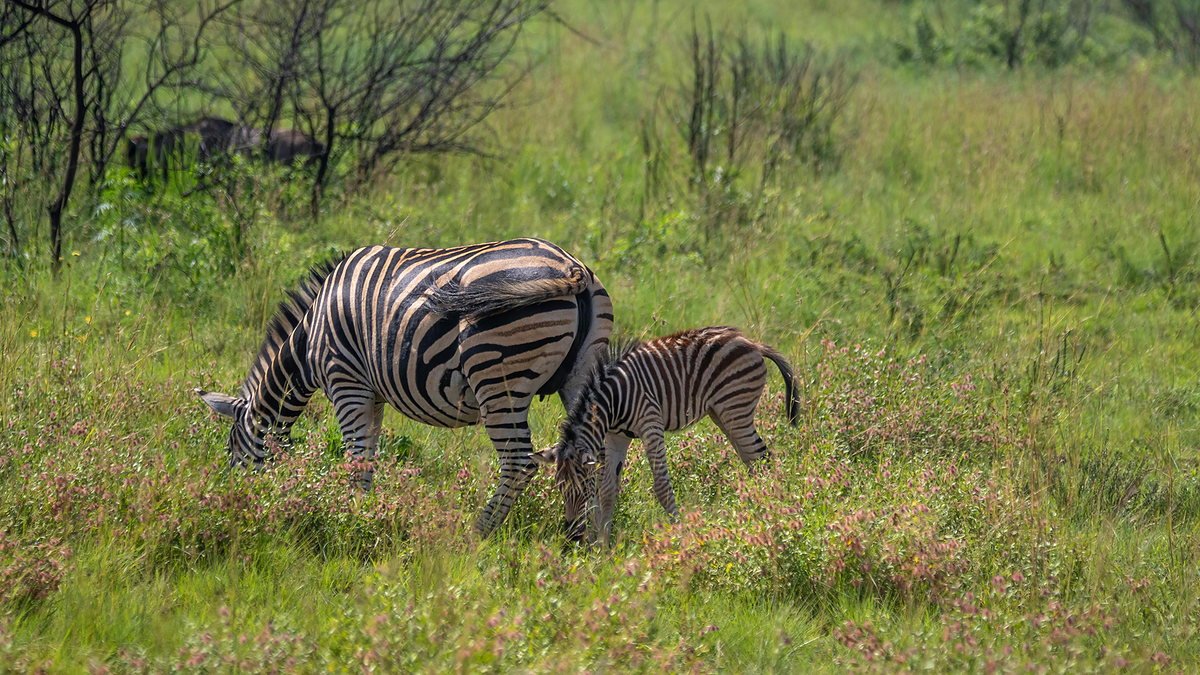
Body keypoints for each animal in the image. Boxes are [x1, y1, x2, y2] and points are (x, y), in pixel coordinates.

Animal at [196, 238, 613, 537]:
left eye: (232, 452)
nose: (240, 505)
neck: (308, 341)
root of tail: (571, 267)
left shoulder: (346, 382)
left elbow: (356, 458)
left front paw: (350, 519)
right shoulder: (373, 395)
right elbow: (368, 456)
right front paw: (364, 514)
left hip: (497, 374)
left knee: (518, 463)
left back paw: (477, 534)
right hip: (583, 374)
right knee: (595, 456)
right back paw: (591, 538)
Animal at [533, 326, 800, 543]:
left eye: (581, 490)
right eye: (560, 488)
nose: (571, 536)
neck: (612, 401)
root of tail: (751, 342)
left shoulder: (650, 424)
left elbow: (661, 486)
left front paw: (680, 535)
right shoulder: (616, 437)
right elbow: (608, 490)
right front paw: (603, 547)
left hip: (736, 409)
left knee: (762, 459)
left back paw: (768, 511)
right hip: (723, 414)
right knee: (753, 462)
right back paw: (756, 511)